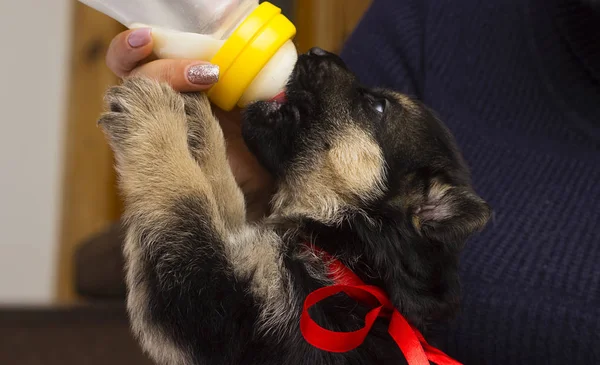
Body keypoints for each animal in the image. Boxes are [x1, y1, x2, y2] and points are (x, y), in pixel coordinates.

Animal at [99, 47, 492, 362]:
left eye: (377, 106)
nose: (317, 51)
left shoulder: (211, 303)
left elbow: (186, 200)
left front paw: (155, 116)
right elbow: (222, 201)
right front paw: (199, 123)